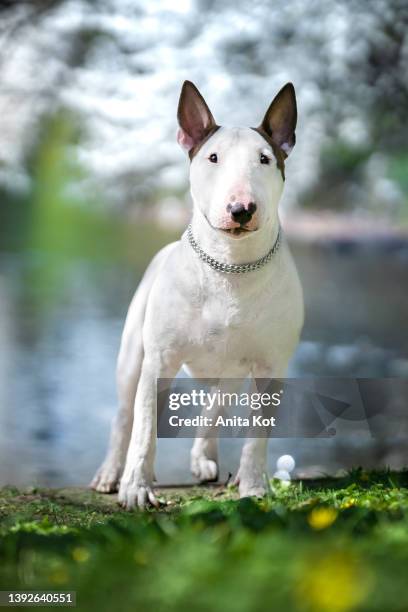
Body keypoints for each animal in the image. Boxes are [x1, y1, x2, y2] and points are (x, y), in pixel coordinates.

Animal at [91, 81, 304, 512]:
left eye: (265, 159)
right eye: (213, 157)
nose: (242, 209)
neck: (230, 267)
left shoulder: (270, 366)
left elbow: (256, 436)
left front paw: (253, 487)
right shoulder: (159, 359)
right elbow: (143, 430)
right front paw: (136, 489)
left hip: (231, 370)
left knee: (215, 406)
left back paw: (206, 459)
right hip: (133, 356)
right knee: (125, 415)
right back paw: (111, 473)